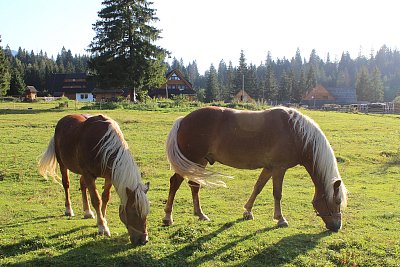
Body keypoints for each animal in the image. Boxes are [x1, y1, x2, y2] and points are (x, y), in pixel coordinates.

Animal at [38, 114, 150, 246]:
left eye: (146, 213)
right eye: (134, 212)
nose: (143, 240)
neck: (103, 145)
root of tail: (63, 120)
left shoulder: (109, 175)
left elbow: (105, 197)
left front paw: (102, 219)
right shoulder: (88, 174)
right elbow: (96, 200)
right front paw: (102, 227)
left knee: (82, 185)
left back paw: (87, 212)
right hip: (63, 164)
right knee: (66, 185)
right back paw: (68, 209)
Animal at [162, 107, 346, 232]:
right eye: (337, 201)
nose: (337, 226)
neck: (296, 133)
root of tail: (183, 120)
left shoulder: (269, 168)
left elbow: (258, 187)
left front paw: (247, 212)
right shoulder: (279, 168)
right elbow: (277, 194)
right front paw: (280, 219)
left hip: (200, 162)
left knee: (194, 185)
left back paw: (200, 214)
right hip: (192, 159)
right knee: (175, 183)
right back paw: (168, 217)